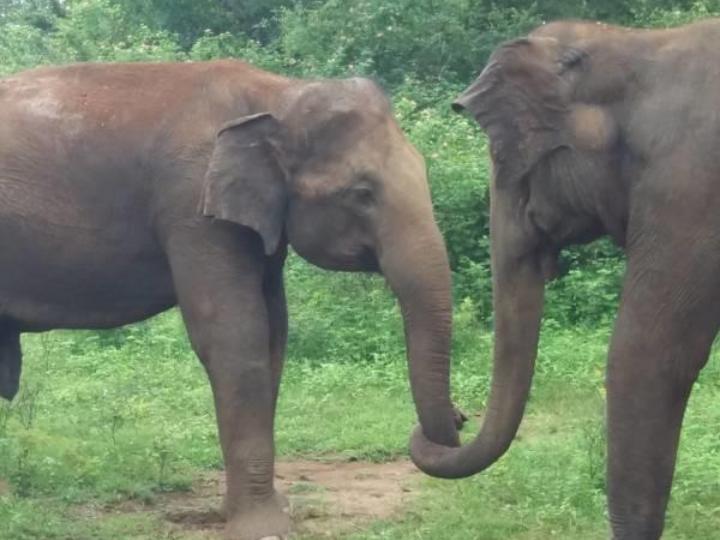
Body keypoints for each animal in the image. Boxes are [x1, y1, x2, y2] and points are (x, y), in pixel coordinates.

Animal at [0, 61, 464, 540]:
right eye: (362, 193)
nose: (461, 416)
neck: (277, 93)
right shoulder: (192, 205)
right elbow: (235, 338)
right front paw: (263, 526)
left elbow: (274, 335)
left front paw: (260, 511)